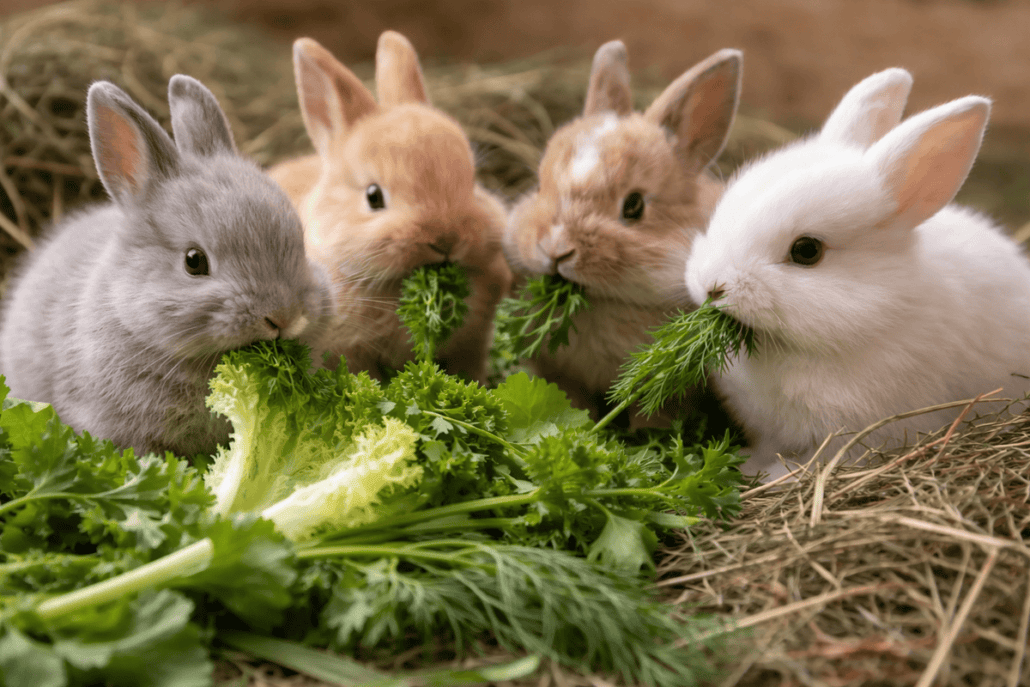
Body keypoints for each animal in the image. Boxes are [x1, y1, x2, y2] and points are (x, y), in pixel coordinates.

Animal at [684, 67, 1030, 481]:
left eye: (807, 251)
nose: (711, 286)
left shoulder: (858, 435)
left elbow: (818, 461)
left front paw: (774, 475)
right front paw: (751, 462)